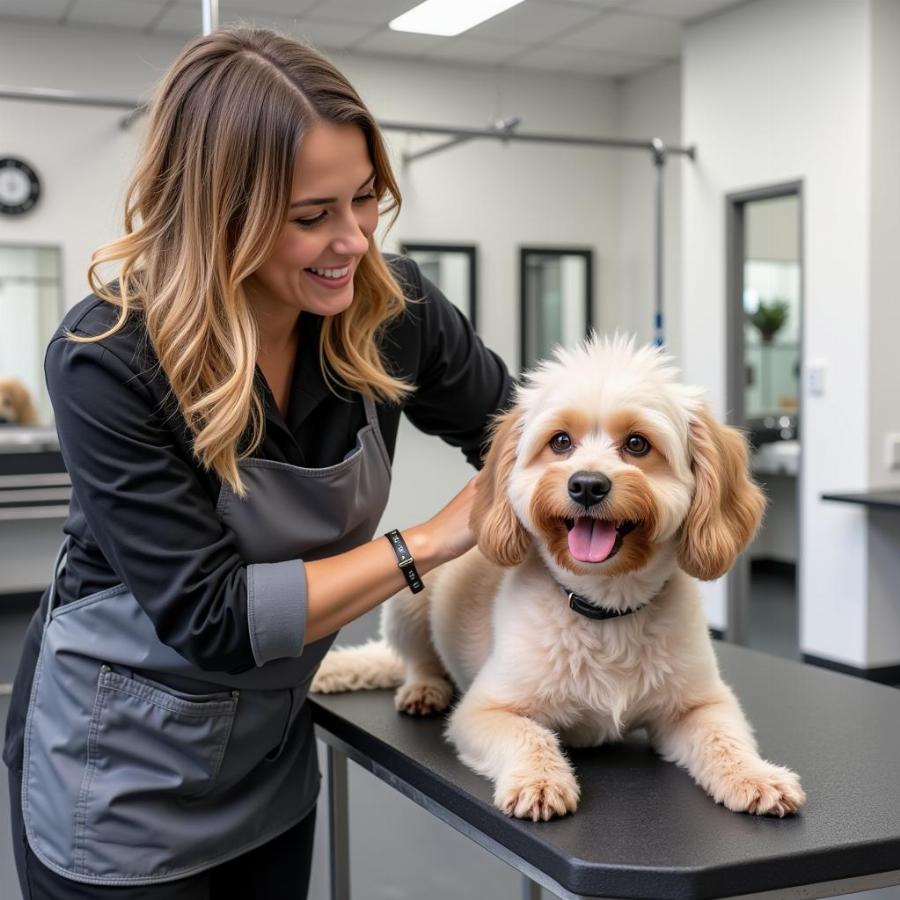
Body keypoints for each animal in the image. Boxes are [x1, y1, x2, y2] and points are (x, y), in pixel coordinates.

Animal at [312, 336, 804, 824]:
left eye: (637, 444)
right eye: (561, 441)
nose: (586, 485)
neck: (605, 608)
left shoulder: (700, 704)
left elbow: (725, 739)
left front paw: (756, 775)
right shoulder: (484, 709)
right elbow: (528, 736)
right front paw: (540, 780)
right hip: (412, 599)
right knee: (416, 659)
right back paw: (424, 687)